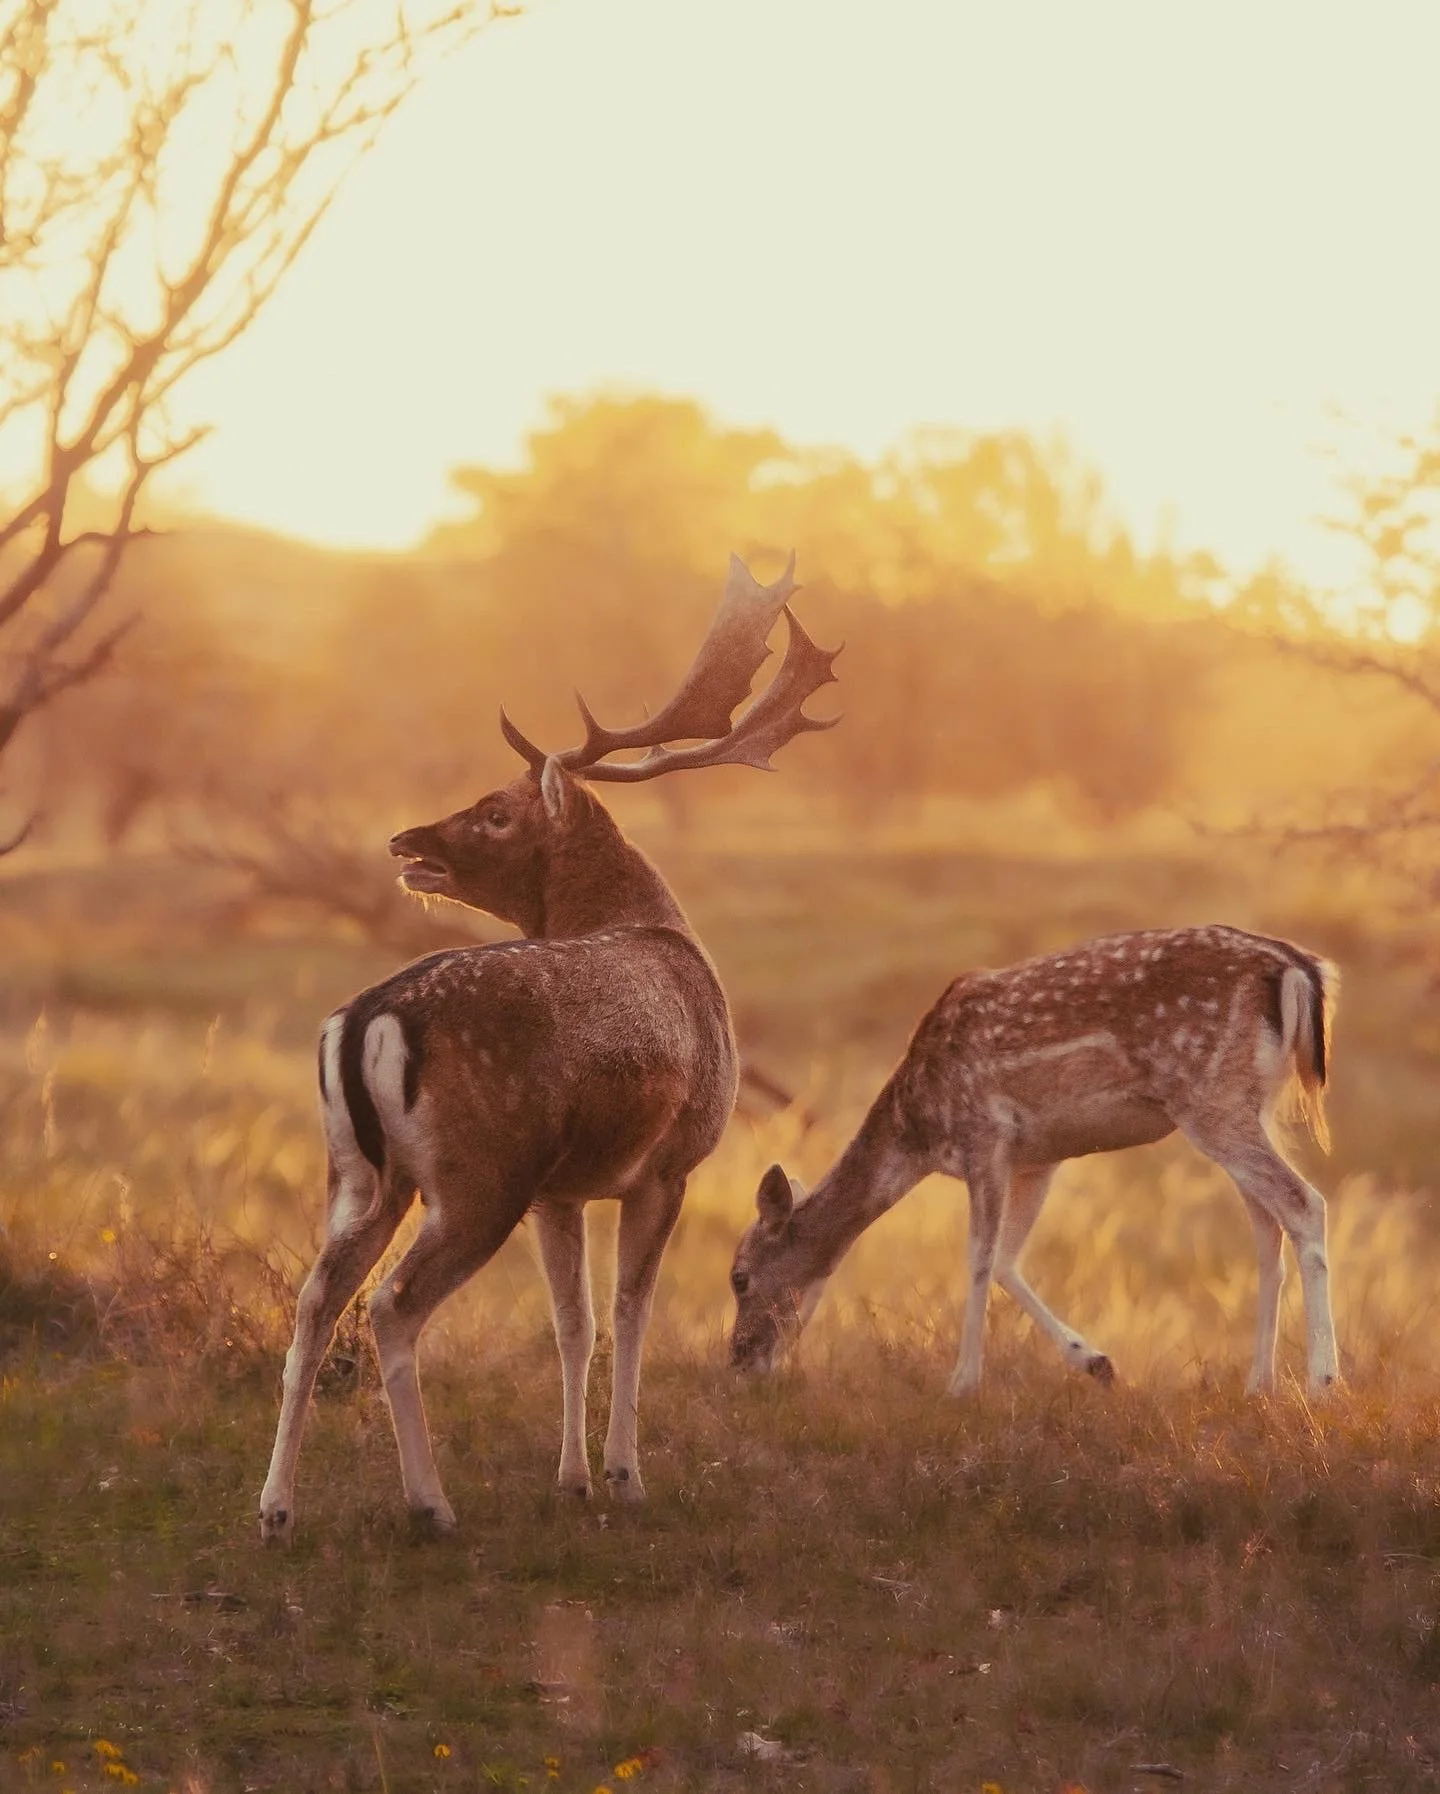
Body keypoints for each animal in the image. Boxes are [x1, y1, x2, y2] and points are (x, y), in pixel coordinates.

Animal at [258, 554, 839, 1545]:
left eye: (496, 811)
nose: (403, 838)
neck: (657, 928)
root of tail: (367, 1018)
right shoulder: (669, 1165)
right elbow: (632, 1314)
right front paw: (626, 1476)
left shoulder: (560, 1191)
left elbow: (575, 1321)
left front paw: (571, 1480)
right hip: (479, 1175)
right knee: (391, 1305)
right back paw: (430, 1503)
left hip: (365, 1177)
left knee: (314, 1298)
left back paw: (276, 1508)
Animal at [728, 926, 1341, 1397]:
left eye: (738, 1277)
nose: (739, 1361)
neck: (917, 1128)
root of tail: (1299, 968)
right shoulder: (1038, 1158)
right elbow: (1005, 1259)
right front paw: (1097, 1363)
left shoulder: (985, 1137)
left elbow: (978, 1259)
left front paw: (962, 1384)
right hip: (1251, 1104)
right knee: (1267, 1228)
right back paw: (1259, 1384)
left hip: (1211, 1099)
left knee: (1304, 1202)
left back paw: (1324, 1382)